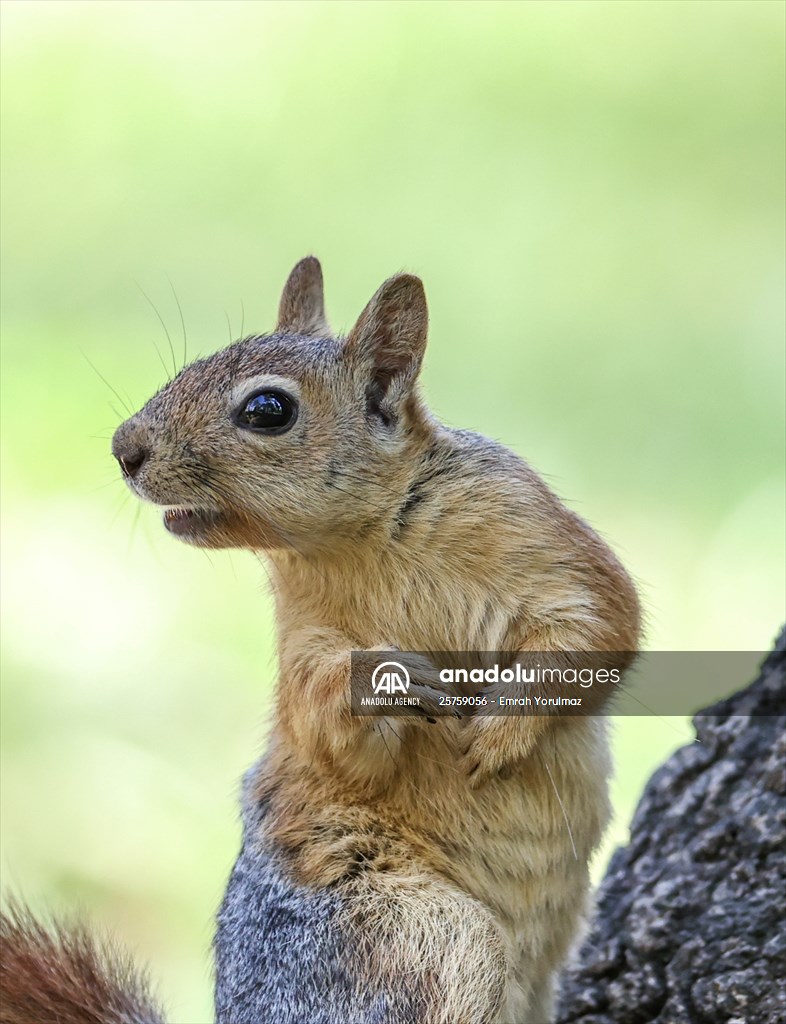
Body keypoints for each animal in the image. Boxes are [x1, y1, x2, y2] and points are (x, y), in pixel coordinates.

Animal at [0, 257, 640, 1024]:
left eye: (267, 410)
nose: (125, 449)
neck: (363, 541)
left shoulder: (542, 541)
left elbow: (595, 627)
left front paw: (501, 729)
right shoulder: (302, 635)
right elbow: (321, 723)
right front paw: (386, 679)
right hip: (417, 937)